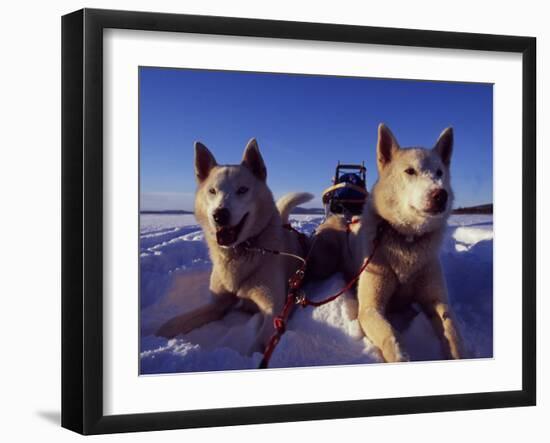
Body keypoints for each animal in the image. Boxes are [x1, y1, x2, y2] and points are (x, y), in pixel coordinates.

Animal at [158, 139, 314, 354]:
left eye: (242, 190)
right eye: (212, 191)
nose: (219, 215)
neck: (241, 251)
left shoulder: (273, 309)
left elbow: (258, 346)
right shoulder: (217, 304)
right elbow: (175, 322)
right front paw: (154, 333)